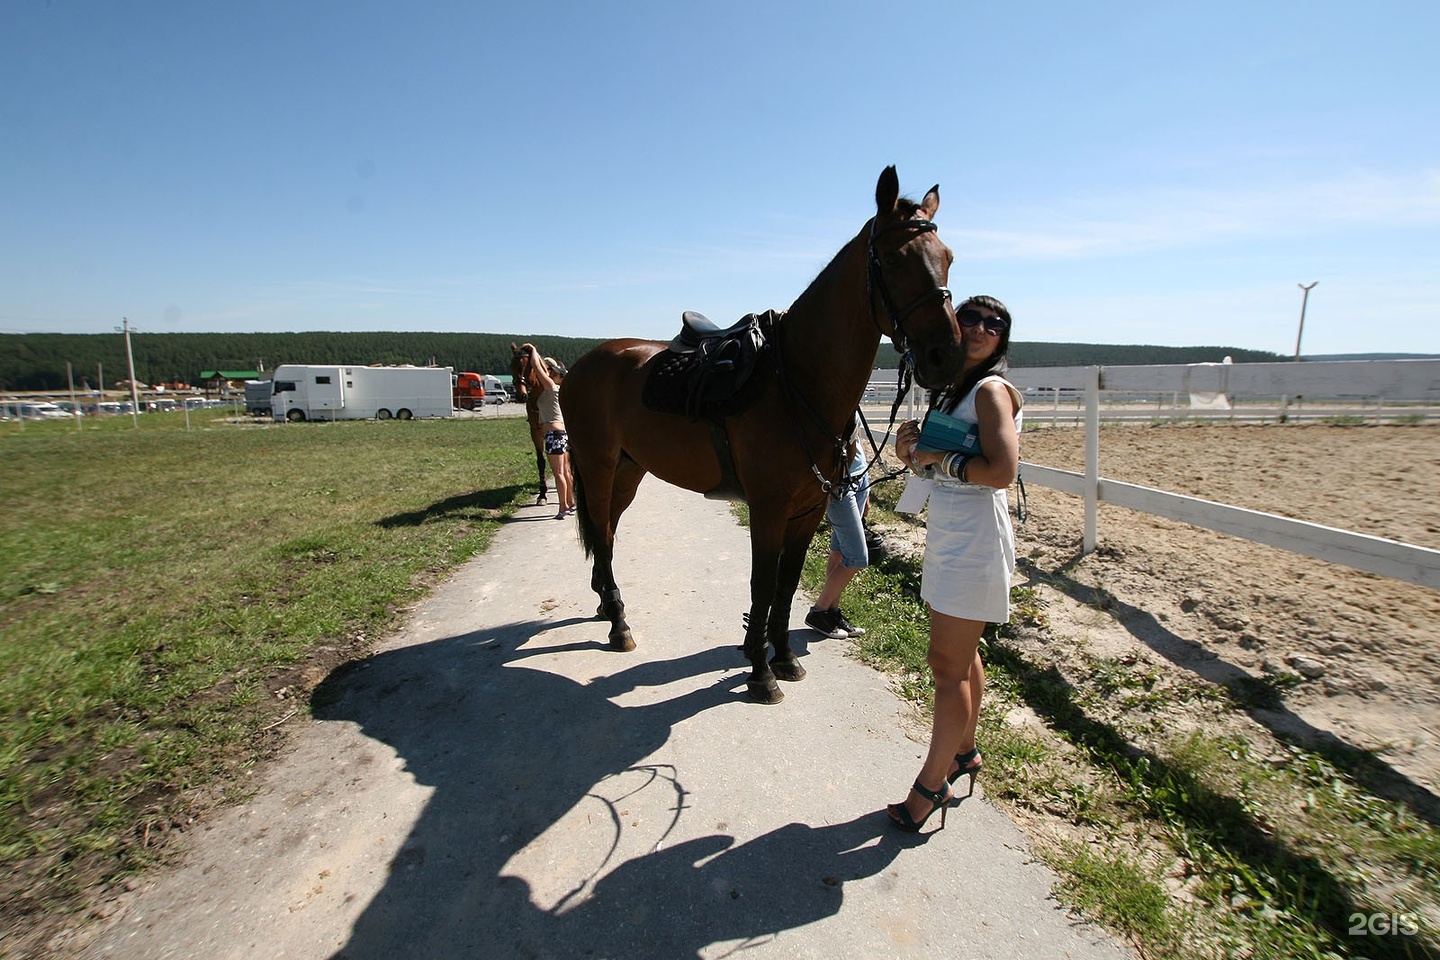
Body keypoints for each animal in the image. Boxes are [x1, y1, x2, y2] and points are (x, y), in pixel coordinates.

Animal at [555, 169, 961, 702]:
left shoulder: (809, 510)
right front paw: (760, 672)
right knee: (601, 536)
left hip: (628, 471)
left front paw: (784, 658)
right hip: (598, 466)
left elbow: (786, 586)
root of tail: (580, 367)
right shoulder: (769, 509)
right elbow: (763, 586)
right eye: (893, 259)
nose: (945, 355)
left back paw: (607, 602)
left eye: (947, 257)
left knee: (606, 530)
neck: (798, 383)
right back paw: (619, 625)